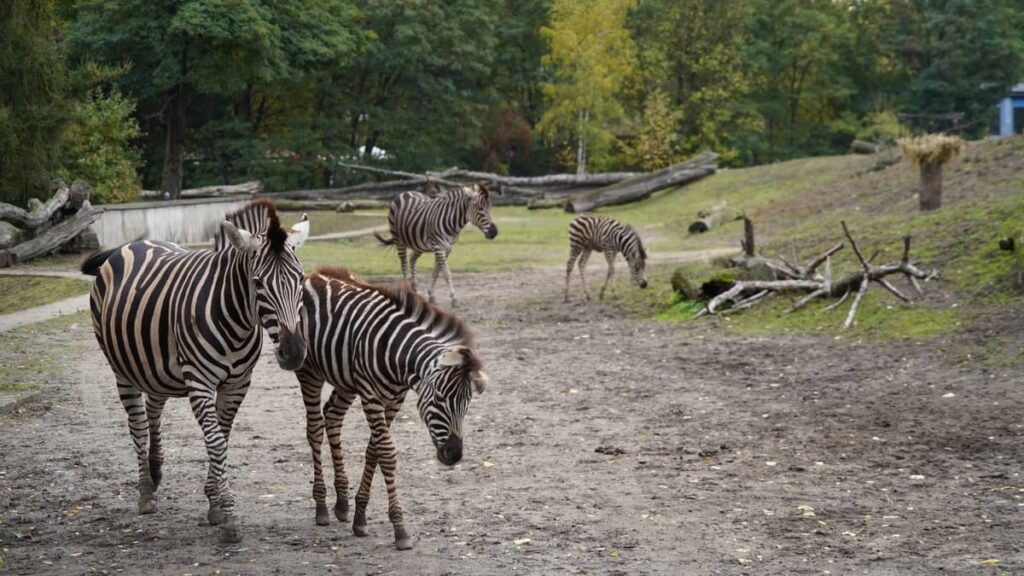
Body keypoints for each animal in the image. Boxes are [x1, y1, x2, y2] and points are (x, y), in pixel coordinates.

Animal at [80, 199, 307, 541]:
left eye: (302, 280)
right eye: (257, 284)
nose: (293, 353)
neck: (238, 321)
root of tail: (131, 244)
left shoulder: (238, 384)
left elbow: (222, 438)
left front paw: (214, 502)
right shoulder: (199, 382)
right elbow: (215, 441)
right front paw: (228, 514)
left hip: (154, 363)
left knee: (154, 406)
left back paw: (156, 470)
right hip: (121, 367)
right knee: (137, 423)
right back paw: (145, 491)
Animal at [296, 266, 487, 549]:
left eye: (466, 405)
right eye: (439, 398)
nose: (454, 455)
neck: (398, 356)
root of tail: (315, 275)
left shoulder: (396, 398)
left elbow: (373, 450)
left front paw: (359, 515)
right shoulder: (371, 394)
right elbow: (386, 453)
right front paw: (400, 528)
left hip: (345, 380)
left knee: (332, 417)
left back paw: (341, 502)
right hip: (309, 372)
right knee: (314, 429)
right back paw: (321, 506)